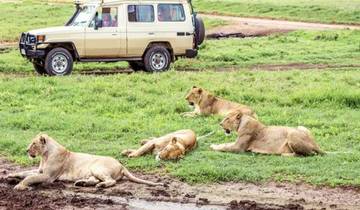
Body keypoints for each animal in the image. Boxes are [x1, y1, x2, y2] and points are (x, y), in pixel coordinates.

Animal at [7, 134, 162, 191]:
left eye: (33, 144)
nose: (26, 150)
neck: (44, 156)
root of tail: (121, 165)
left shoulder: (48, 176)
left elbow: (30, 177)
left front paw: (20, 186)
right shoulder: (40, 171)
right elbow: (25, 172)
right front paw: (10, 176)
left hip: (97, 167)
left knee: (111, 181)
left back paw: (100, 185)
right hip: (93, 171)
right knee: (95, 179)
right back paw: (82, 183)